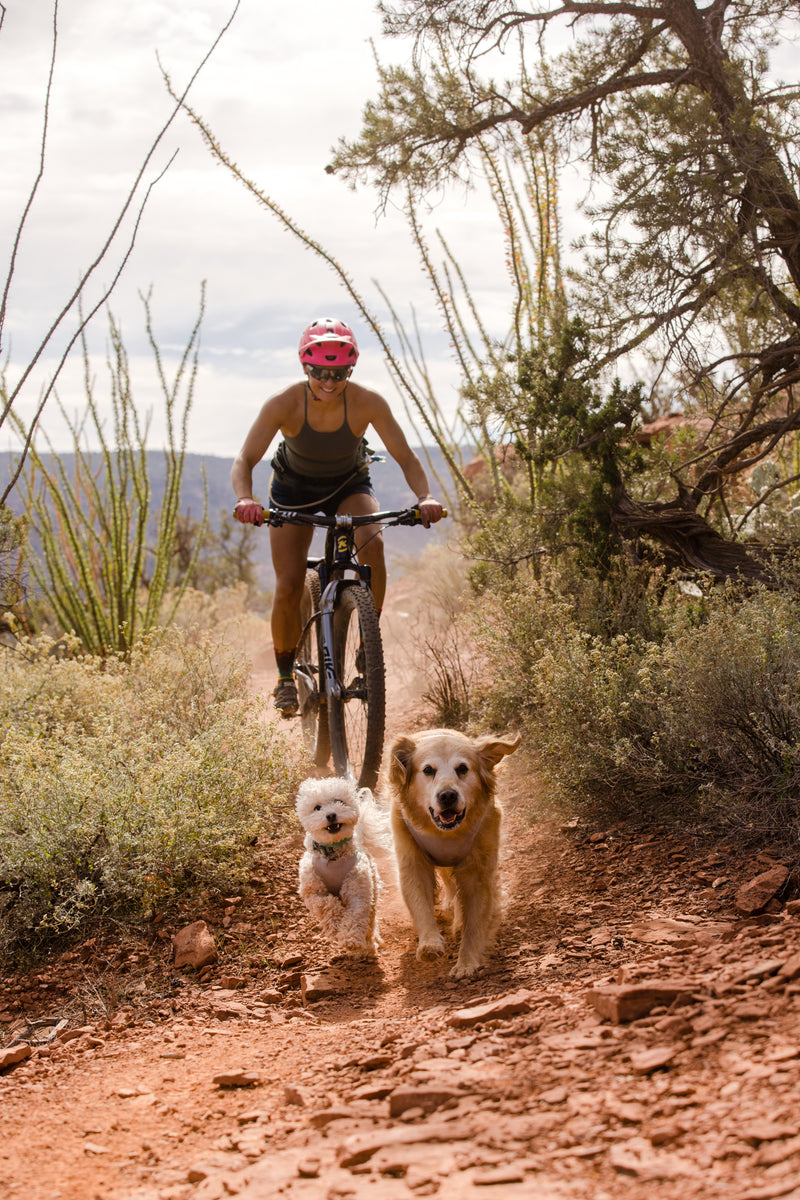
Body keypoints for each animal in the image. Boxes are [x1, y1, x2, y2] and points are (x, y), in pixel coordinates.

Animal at [293, 772, 393, 960]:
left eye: (339, 801)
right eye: (317, 808)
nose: (331, 815)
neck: (333, 855)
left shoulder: (358, 890)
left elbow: (355, 915)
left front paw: (351, 940)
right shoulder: (314, 892)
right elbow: (328, 905)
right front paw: (336, 927)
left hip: (373, 892)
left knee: (370, 923)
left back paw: (368, 947)